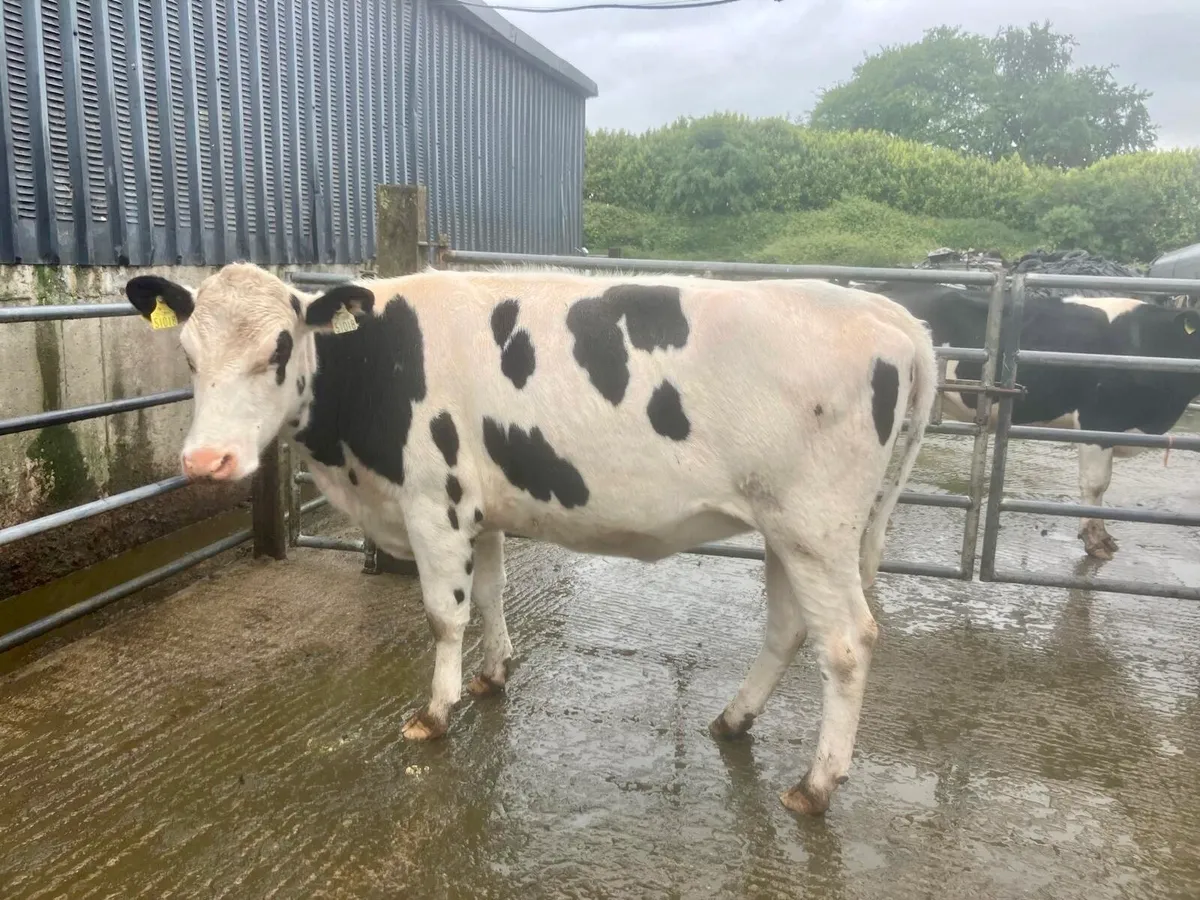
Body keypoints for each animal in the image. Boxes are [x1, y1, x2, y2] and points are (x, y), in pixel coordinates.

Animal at [124, 262, 937, 816]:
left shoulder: (435, 500)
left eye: (279, 349)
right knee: (788, 628)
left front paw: (435, 712)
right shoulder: (479, 508)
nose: (206, 461)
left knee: (847, 643)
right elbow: (488, 593)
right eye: (189, 356)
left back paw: (815, 785)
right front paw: (493, 675)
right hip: (784, 529)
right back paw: (733, 722)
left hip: (815, 527)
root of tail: (888, 312)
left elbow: (443, 615)